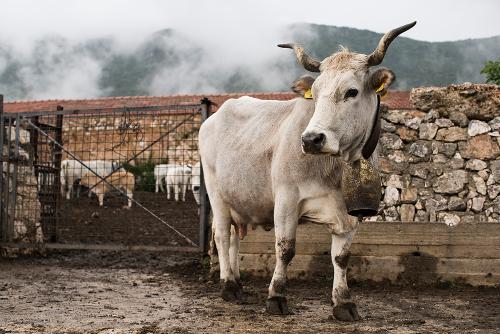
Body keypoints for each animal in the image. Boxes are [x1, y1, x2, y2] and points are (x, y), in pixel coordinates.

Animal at [198, 22, 414, 320]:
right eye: (317, 93)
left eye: (352, 92)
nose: (311, 139)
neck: (336, 170)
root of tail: (216, 115)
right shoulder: (286, 200)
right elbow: (285, 249)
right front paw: (276, 297)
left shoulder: (349, 214)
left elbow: (341, 257)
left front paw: (343, 302)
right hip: (216, 193)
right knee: (220, 235)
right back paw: (228, 286)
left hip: (239, 200)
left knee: (233, 239)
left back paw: (238, 283)